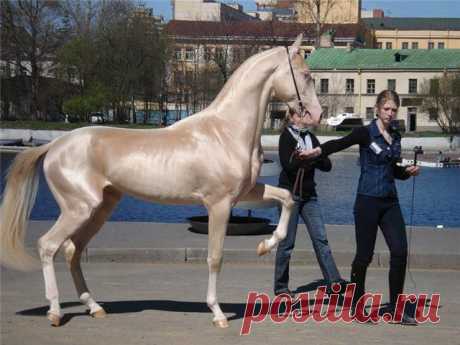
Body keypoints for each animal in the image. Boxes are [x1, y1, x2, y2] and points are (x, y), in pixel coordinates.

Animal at [0, 35, 322, 328]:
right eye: (306, 75)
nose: (317, 115)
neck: (226, 131)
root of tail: (54, 146)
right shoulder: (219, 205)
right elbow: (215, 257)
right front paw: (217, 313)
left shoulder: (245, 193)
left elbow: (288, 199)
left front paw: (265, 245)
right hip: (78, 209)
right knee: (47, 246)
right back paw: (55, 312)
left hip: (99, 209)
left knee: (72, 251)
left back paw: (95, 307)